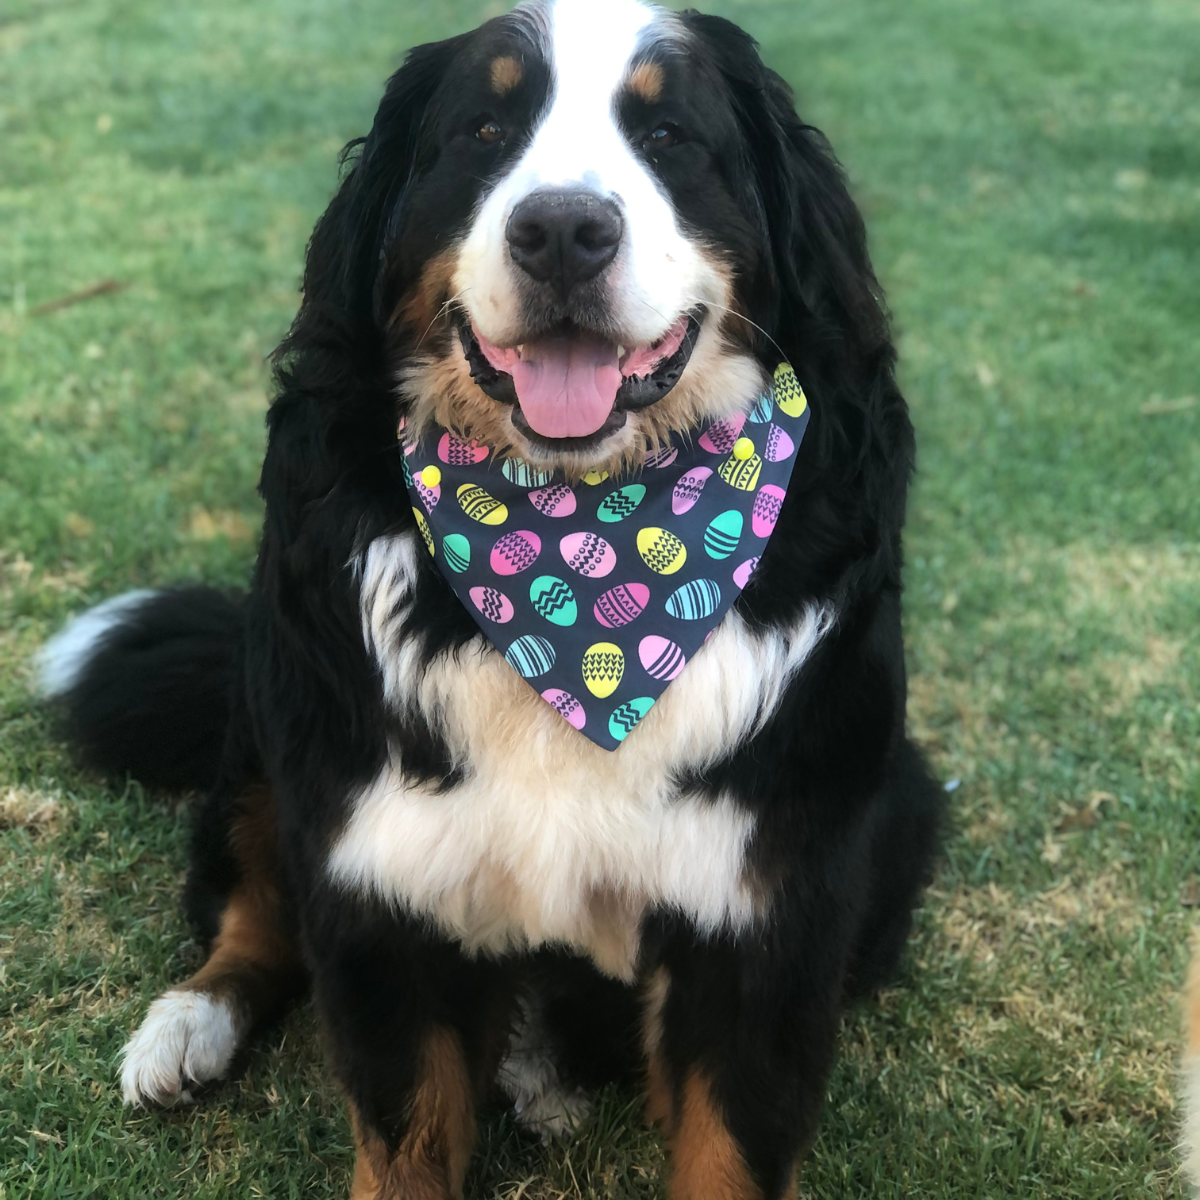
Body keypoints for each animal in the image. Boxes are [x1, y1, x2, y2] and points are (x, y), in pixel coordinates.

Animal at [39, 4, 945, 1195]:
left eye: (670, 137)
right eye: (484, 131)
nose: (562, 230)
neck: (582, 539)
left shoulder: (764, 919)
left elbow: (726, 1144)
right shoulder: (380, 883)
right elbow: (401, 1131)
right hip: (272, 719)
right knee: (251, 907)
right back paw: (187, 1026)